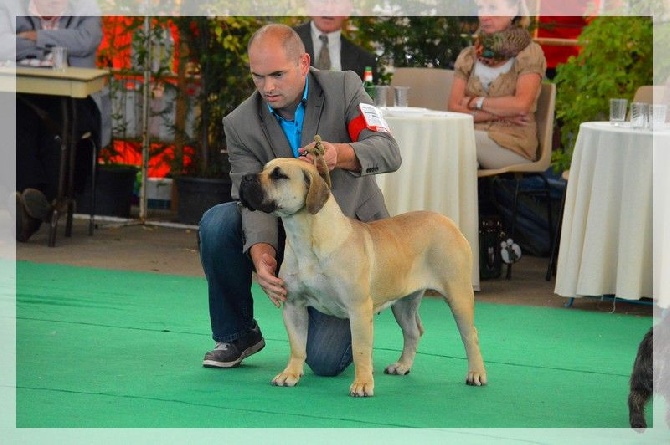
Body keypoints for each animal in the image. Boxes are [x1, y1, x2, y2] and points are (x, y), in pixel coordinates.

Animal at [242, 157, 488, 396]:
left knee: (471, 335)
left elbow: (360, 349)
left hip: (458, 294)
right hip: (403, 302)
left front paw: (362, 384)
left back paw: (476, 374)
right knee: (412, 331)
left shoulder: (358, 309)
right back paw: (402, 366)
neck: (306, 238)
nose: (245, 177)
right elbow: (297, 345)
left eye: (279, 175)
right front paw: (290, 374)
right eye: (263, 168)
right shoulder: (294, 306)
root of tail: (448, 222)